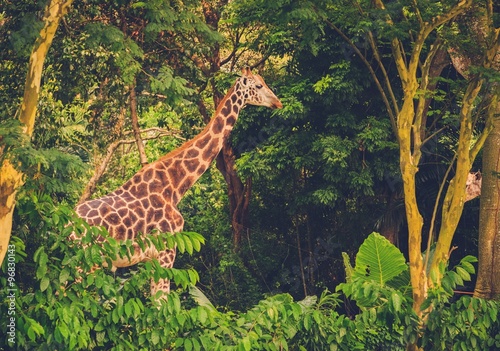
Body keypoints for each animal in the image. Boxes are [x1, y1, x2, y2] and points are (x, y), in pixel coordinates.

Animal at [75, 66, 284, 296]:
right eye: (259, 85)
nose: (278, 103)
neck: (175, 185)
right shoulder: (167, 250)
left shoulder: (152, 258)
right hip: (82, 263)